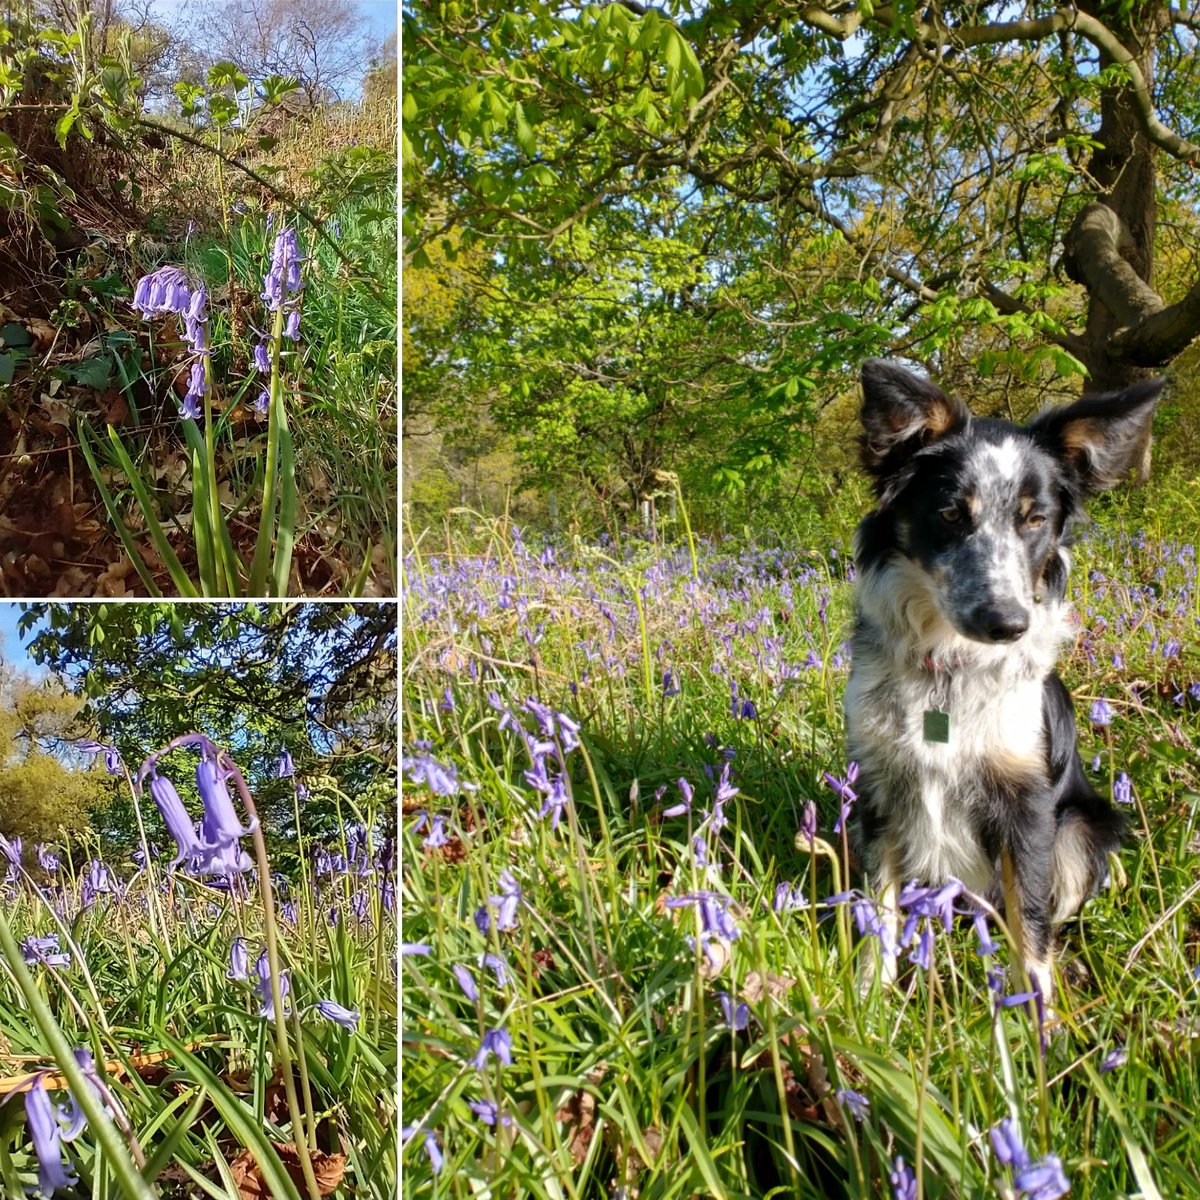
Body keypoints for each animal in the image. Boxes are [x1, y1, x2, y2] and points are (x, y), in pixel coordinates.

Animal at [844, 360, 1161, 998]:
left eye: (1035, 519)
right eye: (949, 514)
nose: (1008, 623)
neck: (949, 668)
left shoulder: (1027, 805)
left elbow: (1030, 918)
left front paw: (1037, 1012)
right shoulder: (881, 786)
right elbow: (879, 904)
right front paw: (868, 997)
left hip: (1084, 829)